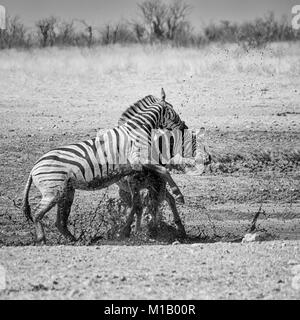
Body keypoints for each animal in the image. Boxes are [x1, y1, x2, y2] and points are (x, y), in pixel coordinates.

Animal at [21, 88, 185, 242]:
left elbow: (155, 185)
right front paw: (178, 194)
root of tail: (34, 167)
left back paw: (77, 241)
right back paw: (42, 239)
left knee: (59, 222)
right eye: (174, 111)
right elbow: (163, 171)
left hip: (66, 192)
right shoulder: (138, 159)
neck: (137, 130)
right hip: (53, 190)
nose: (185, 126)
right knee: (37, 214)